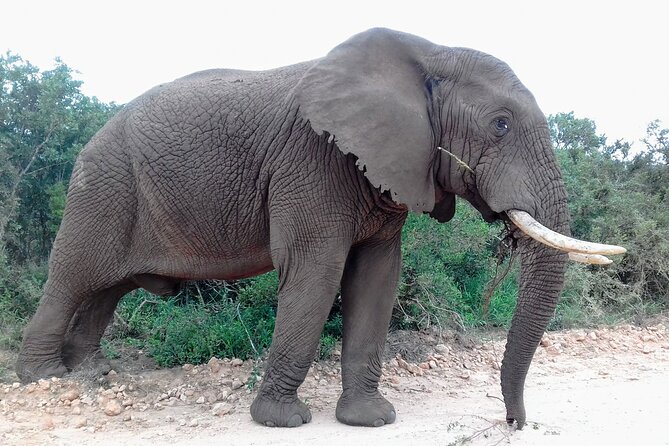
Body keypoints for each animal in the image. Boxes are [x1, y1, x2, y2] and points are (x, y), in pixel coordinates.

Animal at [16, 28, 624, 428]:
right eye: (499, 125)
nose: (515, 425)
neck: (426, 53)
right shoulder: (312, 161)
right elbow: (317, 273)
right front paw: (282, 421)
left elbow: (376, 278)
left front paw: (370, 420)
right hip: (102, 184)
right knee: (73, 276)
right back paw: (47, 379)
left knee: (107, 288)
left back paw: (92, 373)